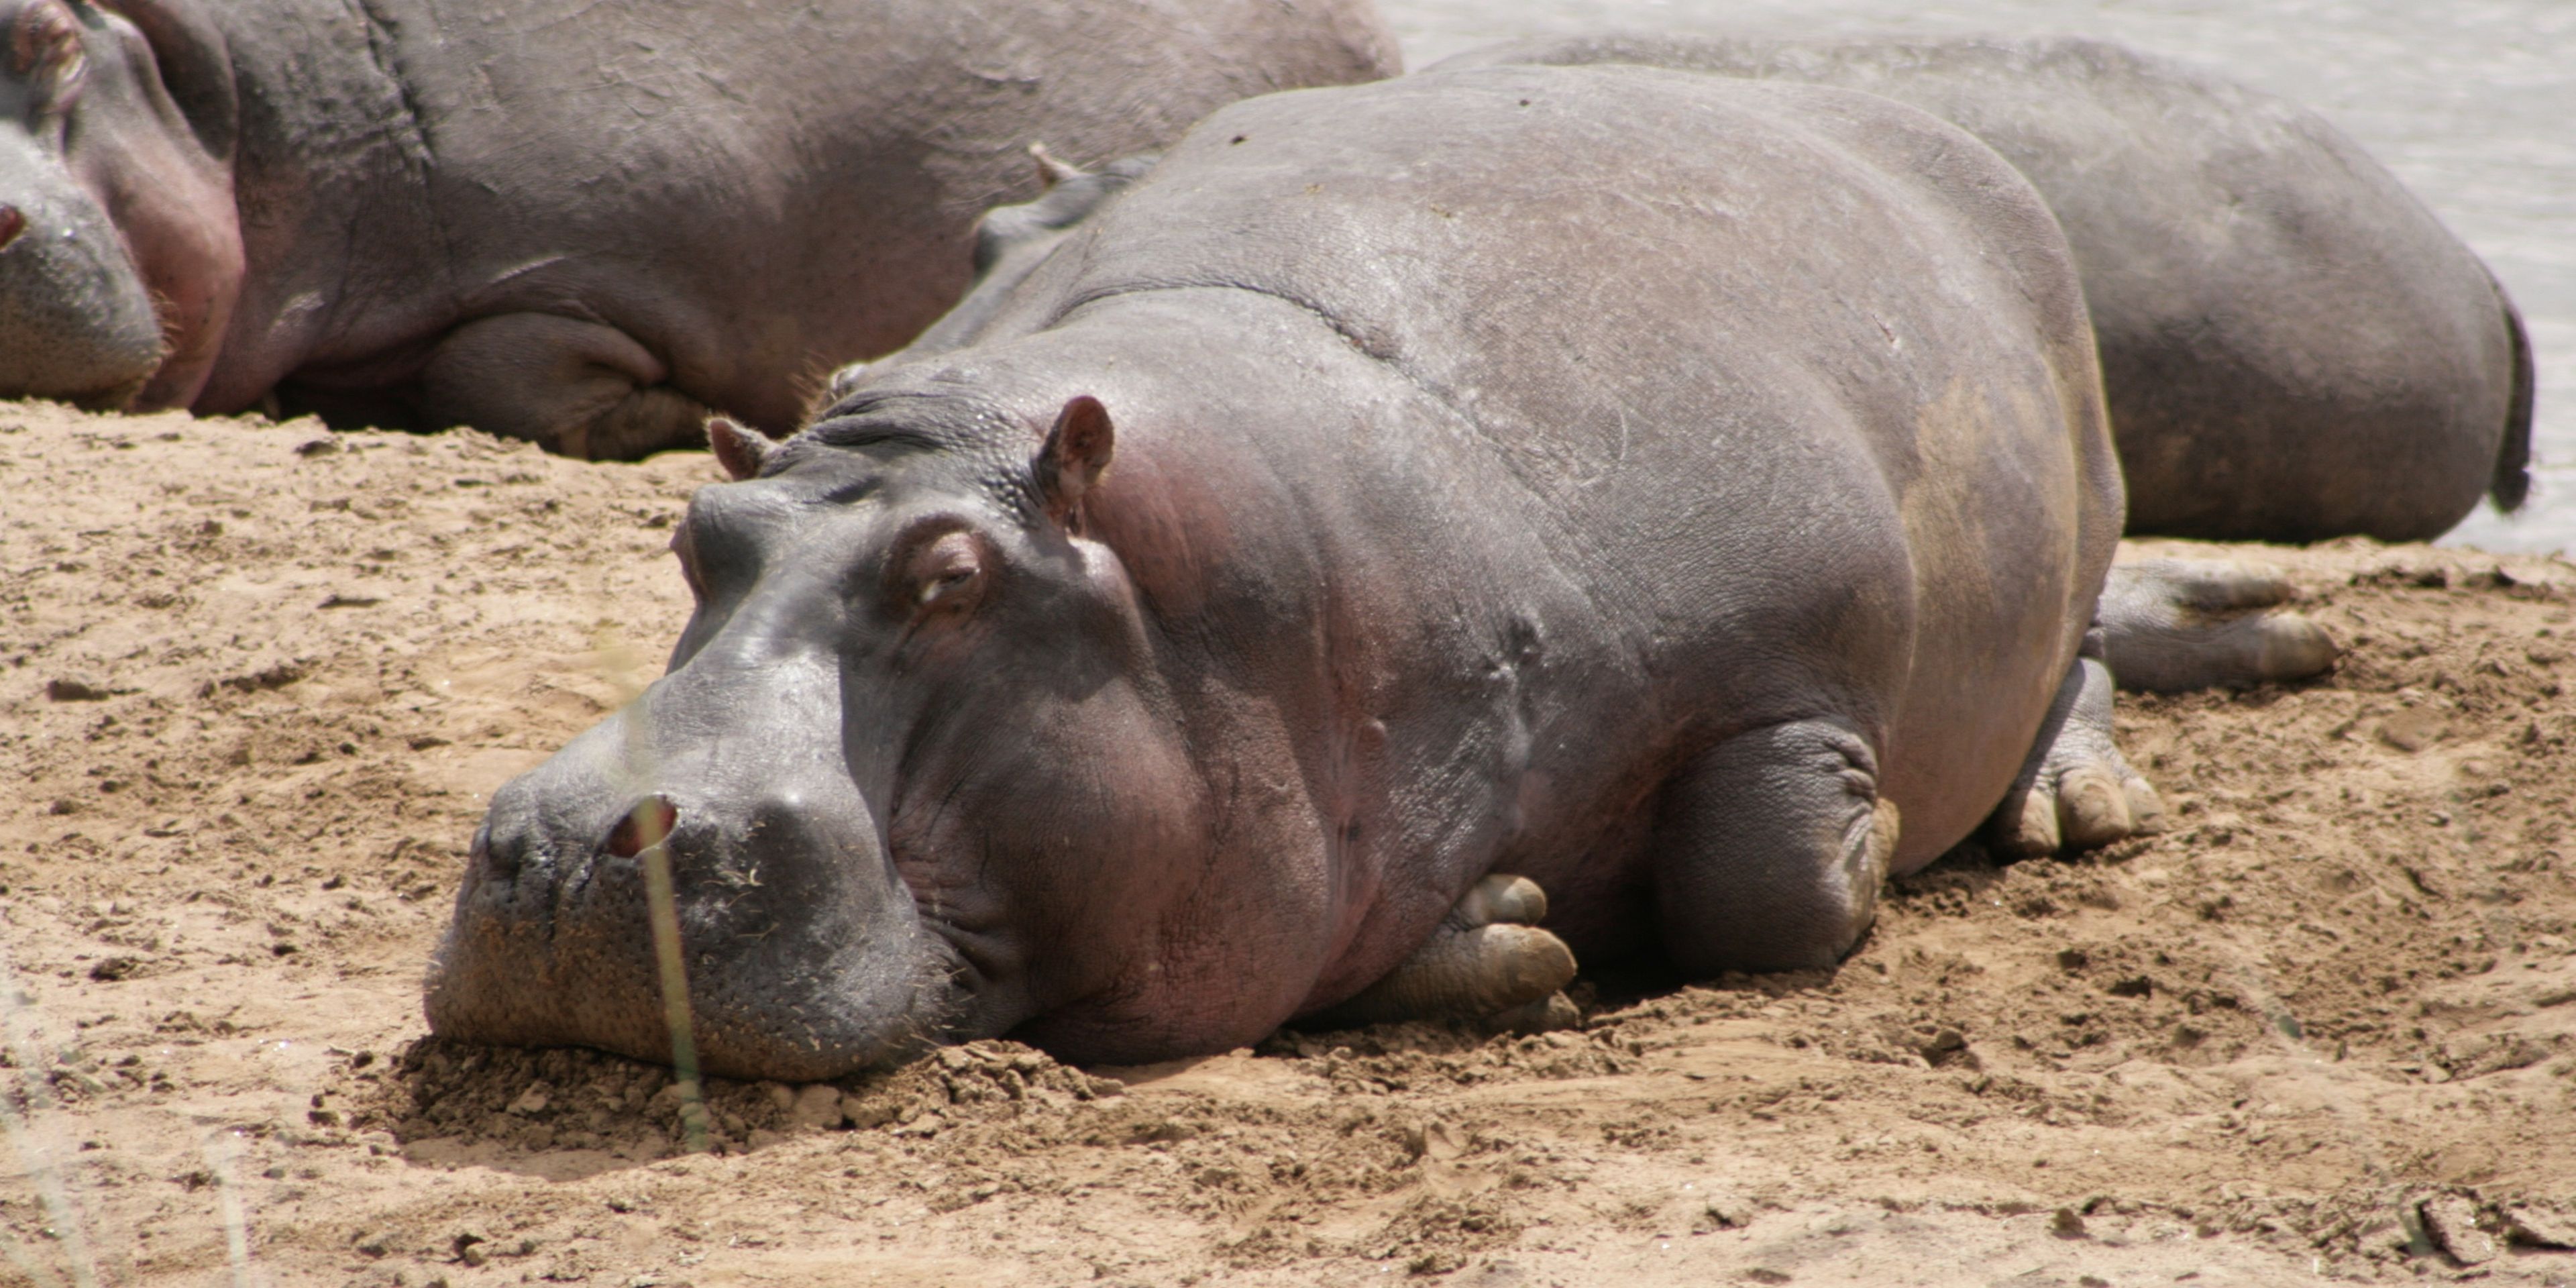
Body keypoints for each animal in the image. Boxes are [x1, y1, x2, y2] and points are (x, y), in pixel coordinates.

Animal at [425, 62, 2182, 1080]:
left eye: (952, 579)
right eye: (694, 537)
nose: (568, 845)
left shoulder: (1794, 646)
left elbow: (1766, 882)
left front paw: (1873, 838)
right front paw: (1513, 930)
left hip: (2078, 496)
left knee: (2081, 644)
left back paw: (2074, 806)